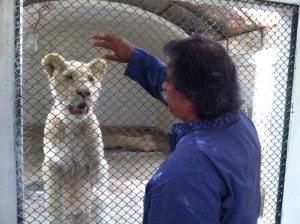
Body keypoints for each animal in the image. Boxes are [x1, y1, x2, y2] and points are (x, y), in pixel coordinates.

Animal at [41, 53, 108, 223]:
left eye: (91, 78)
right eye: (69, 77)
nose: (85, 92)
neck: (73, 125)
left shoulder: (98, 161)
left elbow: (99, 196)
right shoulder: (51, 163)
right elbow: (53, 202)